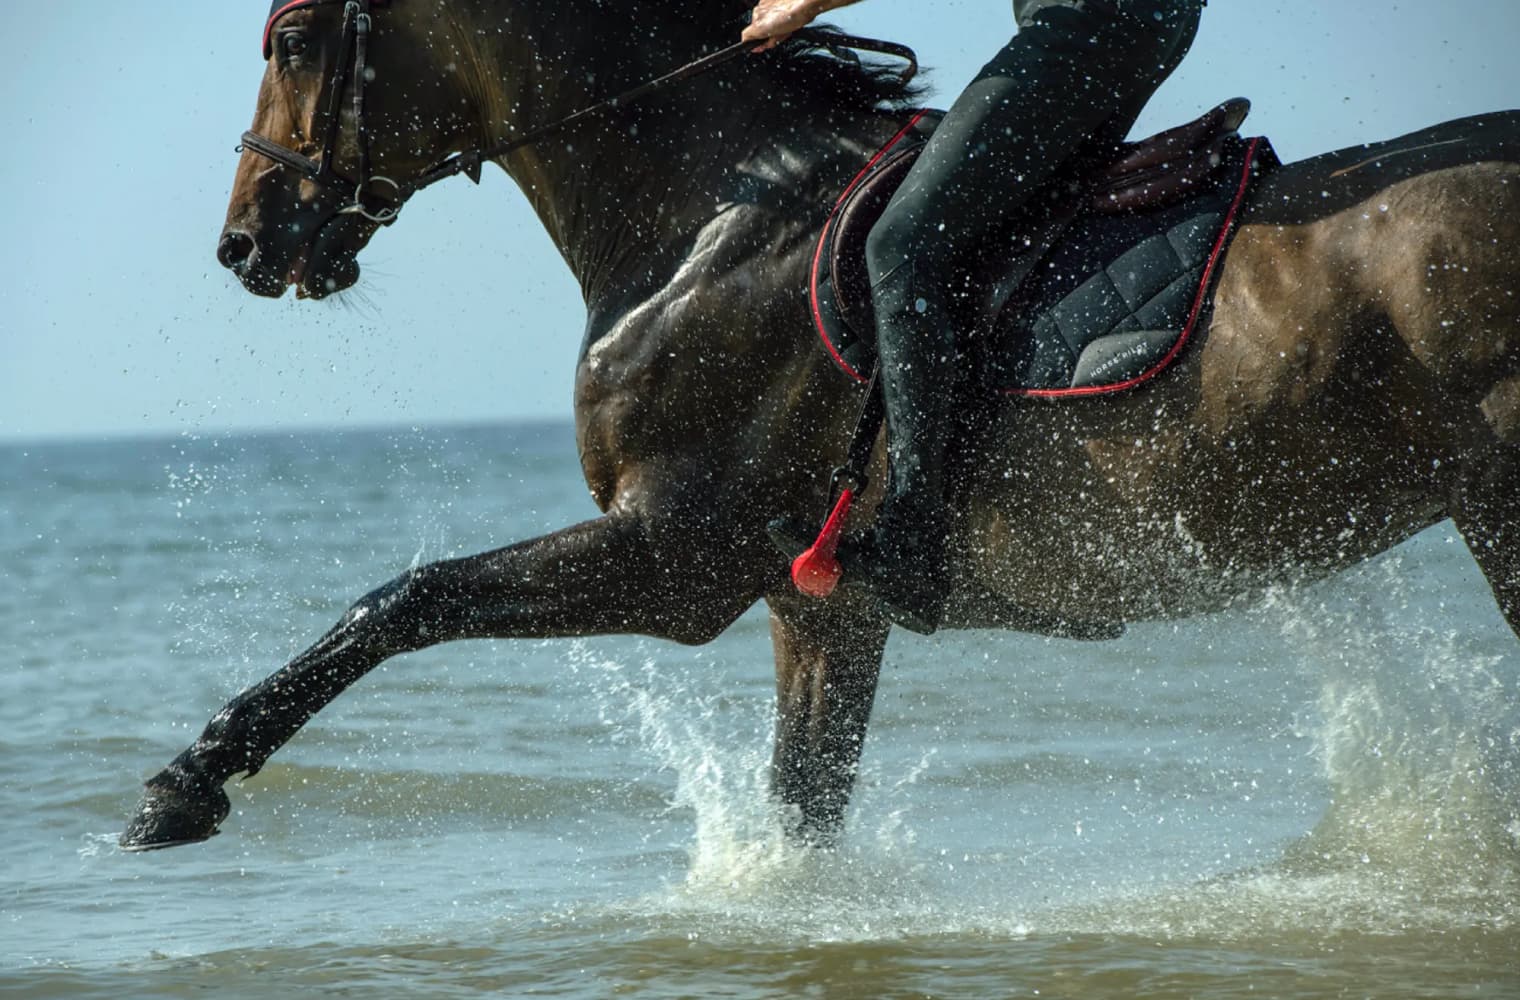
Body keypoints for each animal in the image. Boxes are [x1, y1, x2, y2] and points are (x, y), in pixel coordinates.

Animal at [121, 0, 1520, 851]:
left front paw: (186, 781)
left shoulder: (675, 558)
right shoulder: (819, 608)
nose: (247, 242)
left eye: (297, 39)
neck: (706, 221)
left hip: (1498, 511)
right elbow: (803, 807)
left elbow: (399, 599)